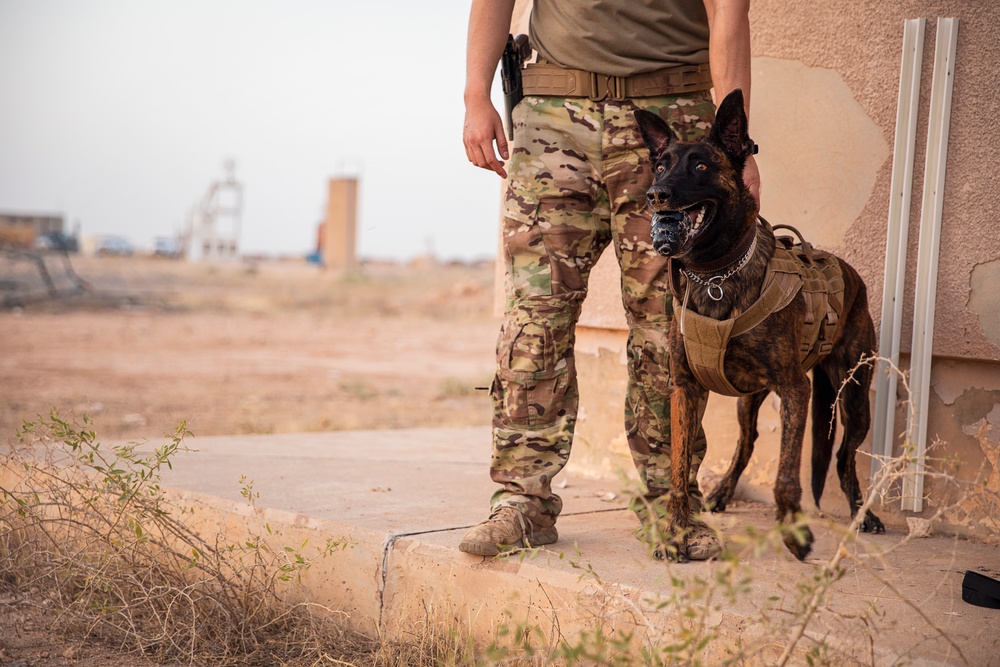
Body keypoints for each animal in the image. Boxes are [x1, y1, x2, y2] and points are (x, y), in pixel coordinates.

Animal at [632, 86, 884, 560]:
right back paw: (722, 493)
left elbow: (787, 473)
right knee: (746, 443)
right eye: (660, 165)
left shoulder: (796, 389)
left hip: (855, 395)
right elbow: (678, 470)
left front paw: (795, 533)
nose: (655, 194)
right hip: (748, 399)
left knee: (844, 456)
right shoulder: (685, 389)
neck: (714, 273)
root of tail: (849, 271)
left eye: (701, 165)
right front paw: (675, 533)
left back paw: (864, 514)